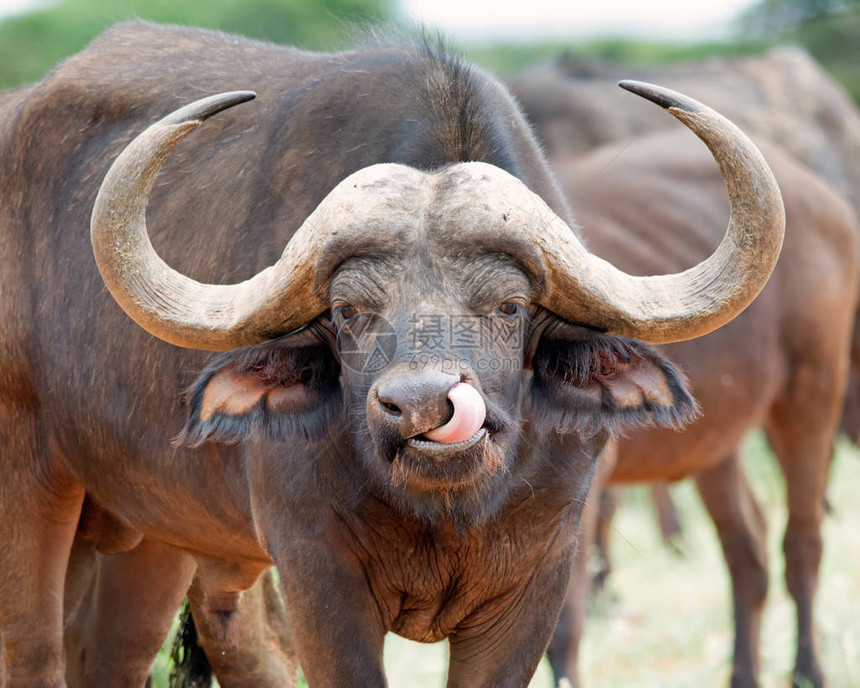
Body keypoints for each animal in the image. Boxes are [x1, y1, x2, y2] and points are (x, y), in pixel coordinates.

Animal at [0, 22, 784, 688]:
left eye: (510, 306)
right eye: (349, 311)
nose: (423, 406)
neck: (446, 509)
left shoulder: (538, 580)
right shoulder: (319, 579)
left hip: (155, 528)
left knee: (126, 651)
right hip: (31, 482)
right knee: (36, 648)